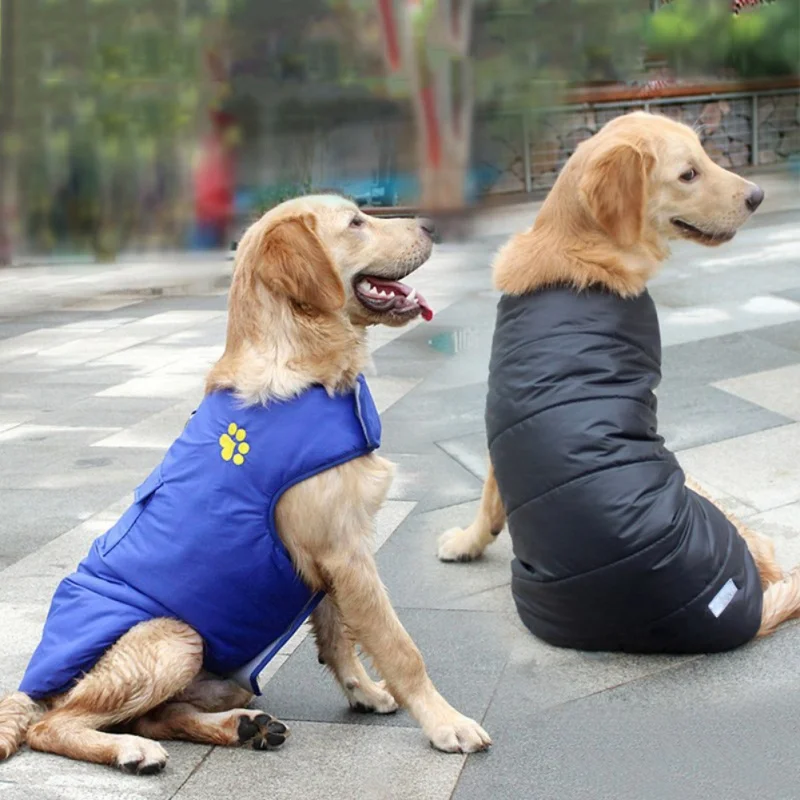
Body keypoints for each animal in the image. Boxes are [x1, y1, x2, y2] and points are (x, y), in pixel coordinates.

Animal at [0, 195, 490, 776]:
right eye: (355, 222)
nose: (434, 225)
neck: (305, 371)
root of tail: (30, 687)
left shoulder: (327, 560)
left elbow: (338, 636)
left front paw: (365, 692)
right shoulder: (343, 549)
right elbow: (399, 646)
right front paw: (445, 723)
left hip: (219, 677)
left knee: (156, 716)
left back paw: (242, 727)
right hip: (175, 637)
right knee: (56, 726)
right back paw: (131, 750)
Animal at [438, 117, 800, 656]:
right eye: (689, 173)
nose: (757, 195)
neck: (577, 247)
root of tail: (749, 614)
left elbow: (488, 494)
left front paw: (467, 541)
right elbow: (488, 495)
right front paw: (468, 541)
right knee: (772, 555)